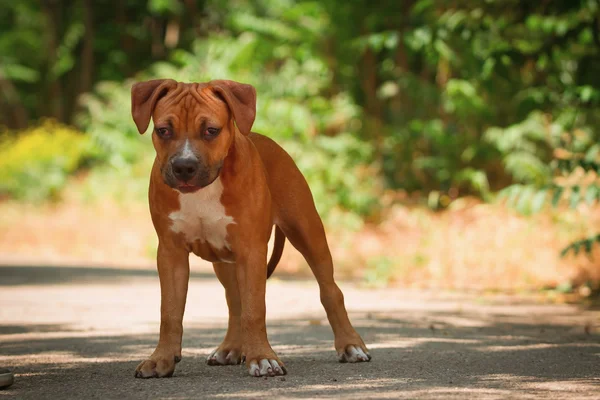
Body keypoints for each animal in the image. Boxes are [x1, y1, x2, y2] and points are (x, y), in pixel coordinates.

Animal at [130, 79, 370, 378]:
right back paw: (231, 348)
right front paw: (161, 358)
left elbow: (255, 309)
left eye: (211, 130)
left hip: (308, 233)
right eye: (163, 130)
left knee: (330, 291)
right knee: (235, 302)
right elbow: (170, 312)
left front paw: (262, 358)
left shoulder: (252, 250)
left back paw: (350, 345)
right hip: (223, 261)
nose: (184, 166)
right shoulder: (170, 253)